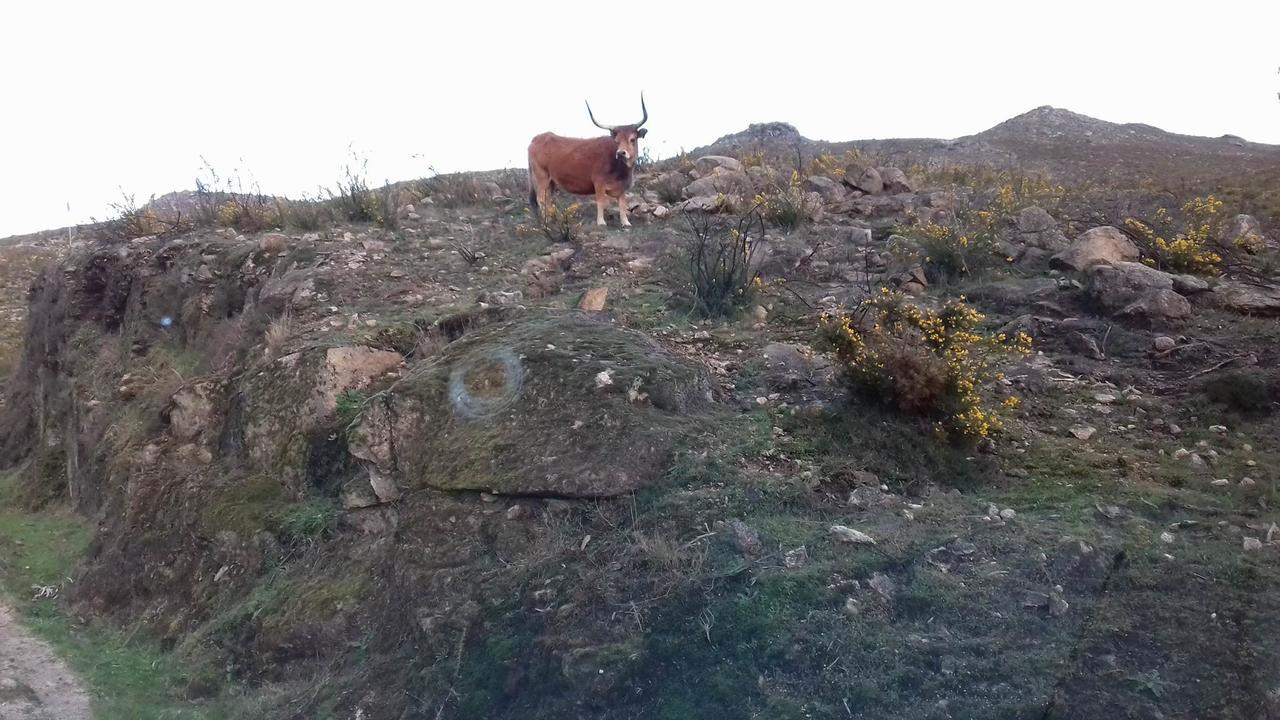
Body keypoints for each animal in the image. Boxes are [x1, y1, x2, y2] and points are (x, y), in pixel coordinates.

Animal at [529, 94, 650, 225]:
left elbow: (622, 204)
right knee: (541, 199)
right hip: (541, 176)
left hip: (551, 181)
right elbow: (601, 202)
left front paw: (625, 222)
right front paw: (601, 222)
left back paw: (551, 219)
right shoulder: (599, 182)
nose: (621, 153)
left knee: (548, 199)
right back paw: (546, 222)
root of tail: (537, 138)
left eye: (632, 139)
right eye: (616, 141)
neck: (621, 170)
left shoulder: (622, 187)